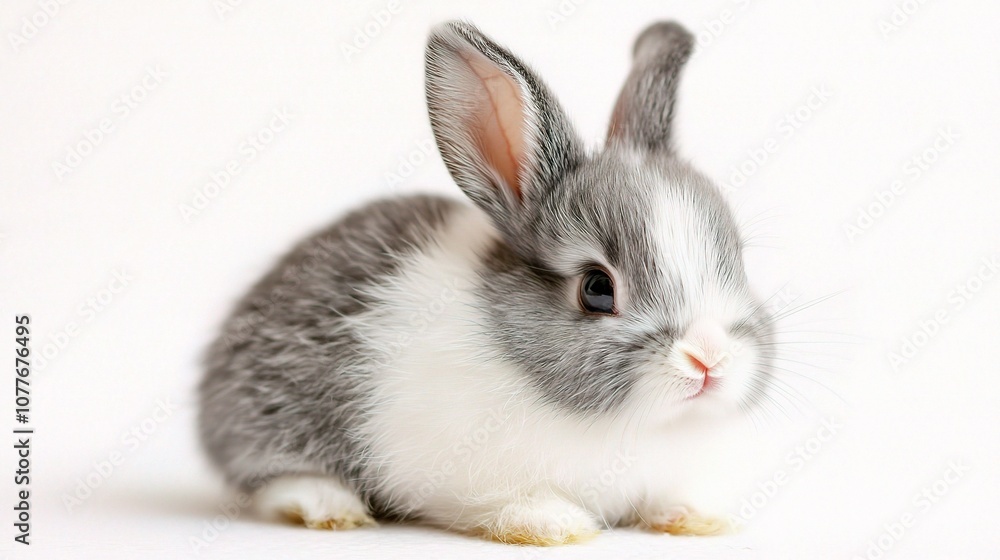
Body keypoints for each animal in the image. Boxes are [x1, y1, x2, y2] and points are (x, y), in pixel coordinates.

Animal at [198, 20, 775, 545]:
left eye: (737, 260)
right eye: (596, 289)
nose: (709, 357)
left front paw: (696, 519)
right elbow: (504, 503)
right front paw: (554, 526)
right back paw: (330, 507)